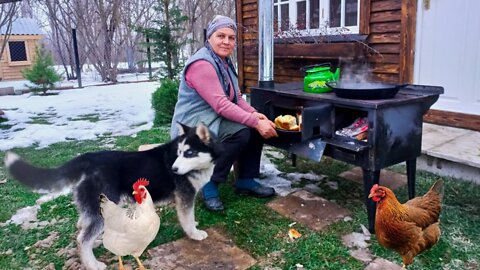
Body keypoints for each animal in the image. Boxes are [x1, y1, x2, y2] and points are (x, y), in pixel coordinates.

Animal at [3, 123, 220, 268]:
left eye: (189, 153)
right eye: (180, 153)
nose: (173, 169)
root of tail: (88, 158)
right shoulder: (185, 196)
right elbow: (187, 219)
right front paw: (195, 234)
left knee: (82, 226)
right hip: (102, 207)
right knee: (82, 239)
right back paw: (93, 264)